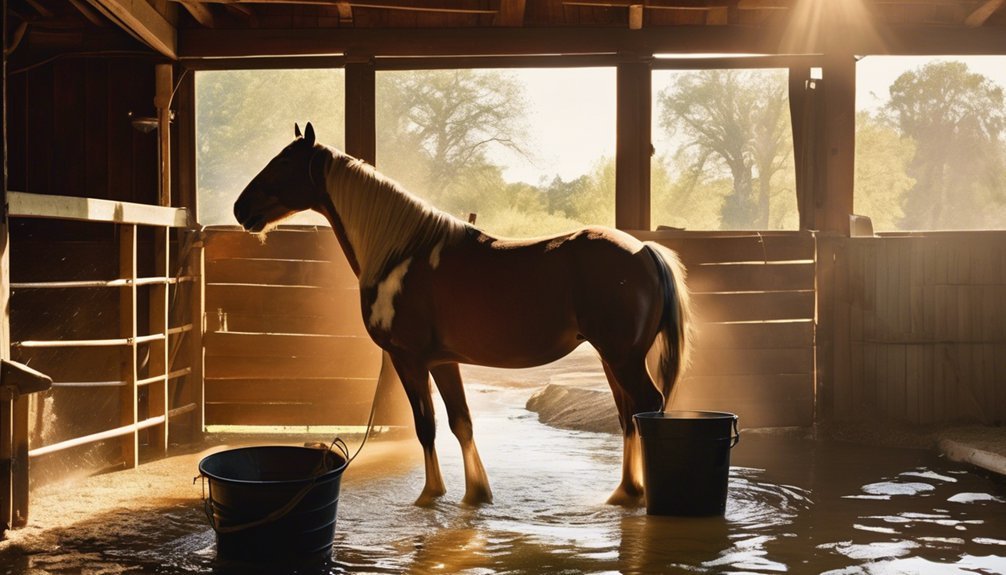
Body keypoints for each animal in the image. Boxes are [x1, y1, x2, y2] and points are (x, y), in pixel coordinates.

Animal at [233, 122, 692, 506]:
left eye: (282, 163)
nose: (241, 209)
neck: (402, 254)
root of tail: (644, 250)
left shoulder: (408, 359)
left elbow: (426, 426)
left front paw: (430, 494)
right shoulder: (443, 361)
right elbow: (461, 423)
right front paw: (476, 493)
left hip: (622, 358)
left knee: (646, 406)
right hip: (612, 358)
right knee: (628, 415)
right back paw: (624, 493)